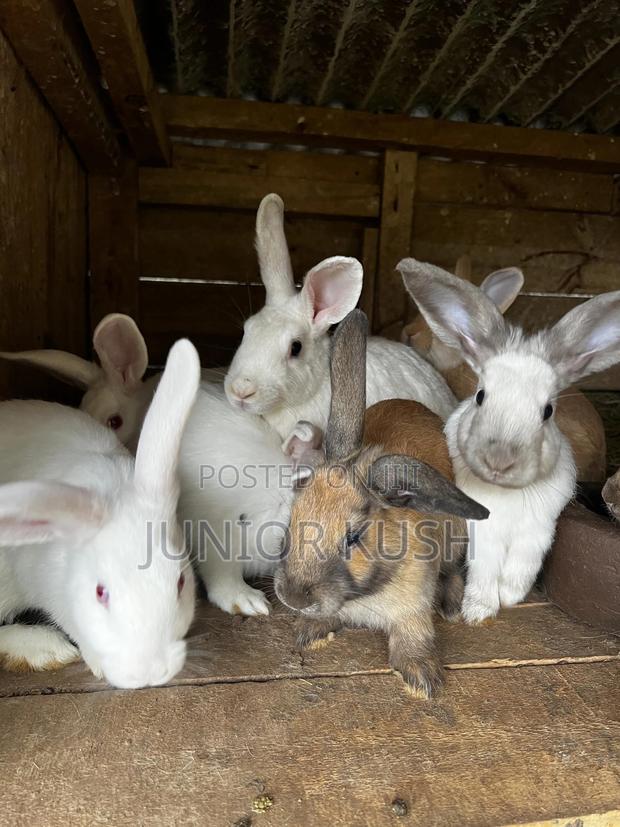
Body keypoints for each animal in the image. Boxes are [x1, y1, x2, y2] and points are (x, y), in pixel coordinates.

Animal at [274, 310, 489, 698]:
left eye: (354, 537)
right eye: (292, 521)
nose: (293, 598)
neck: (362, 596)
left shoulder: (414, 605)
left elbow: (414, 632)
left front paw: (422, 678)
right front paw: (310, 633)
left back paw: (451, 608)